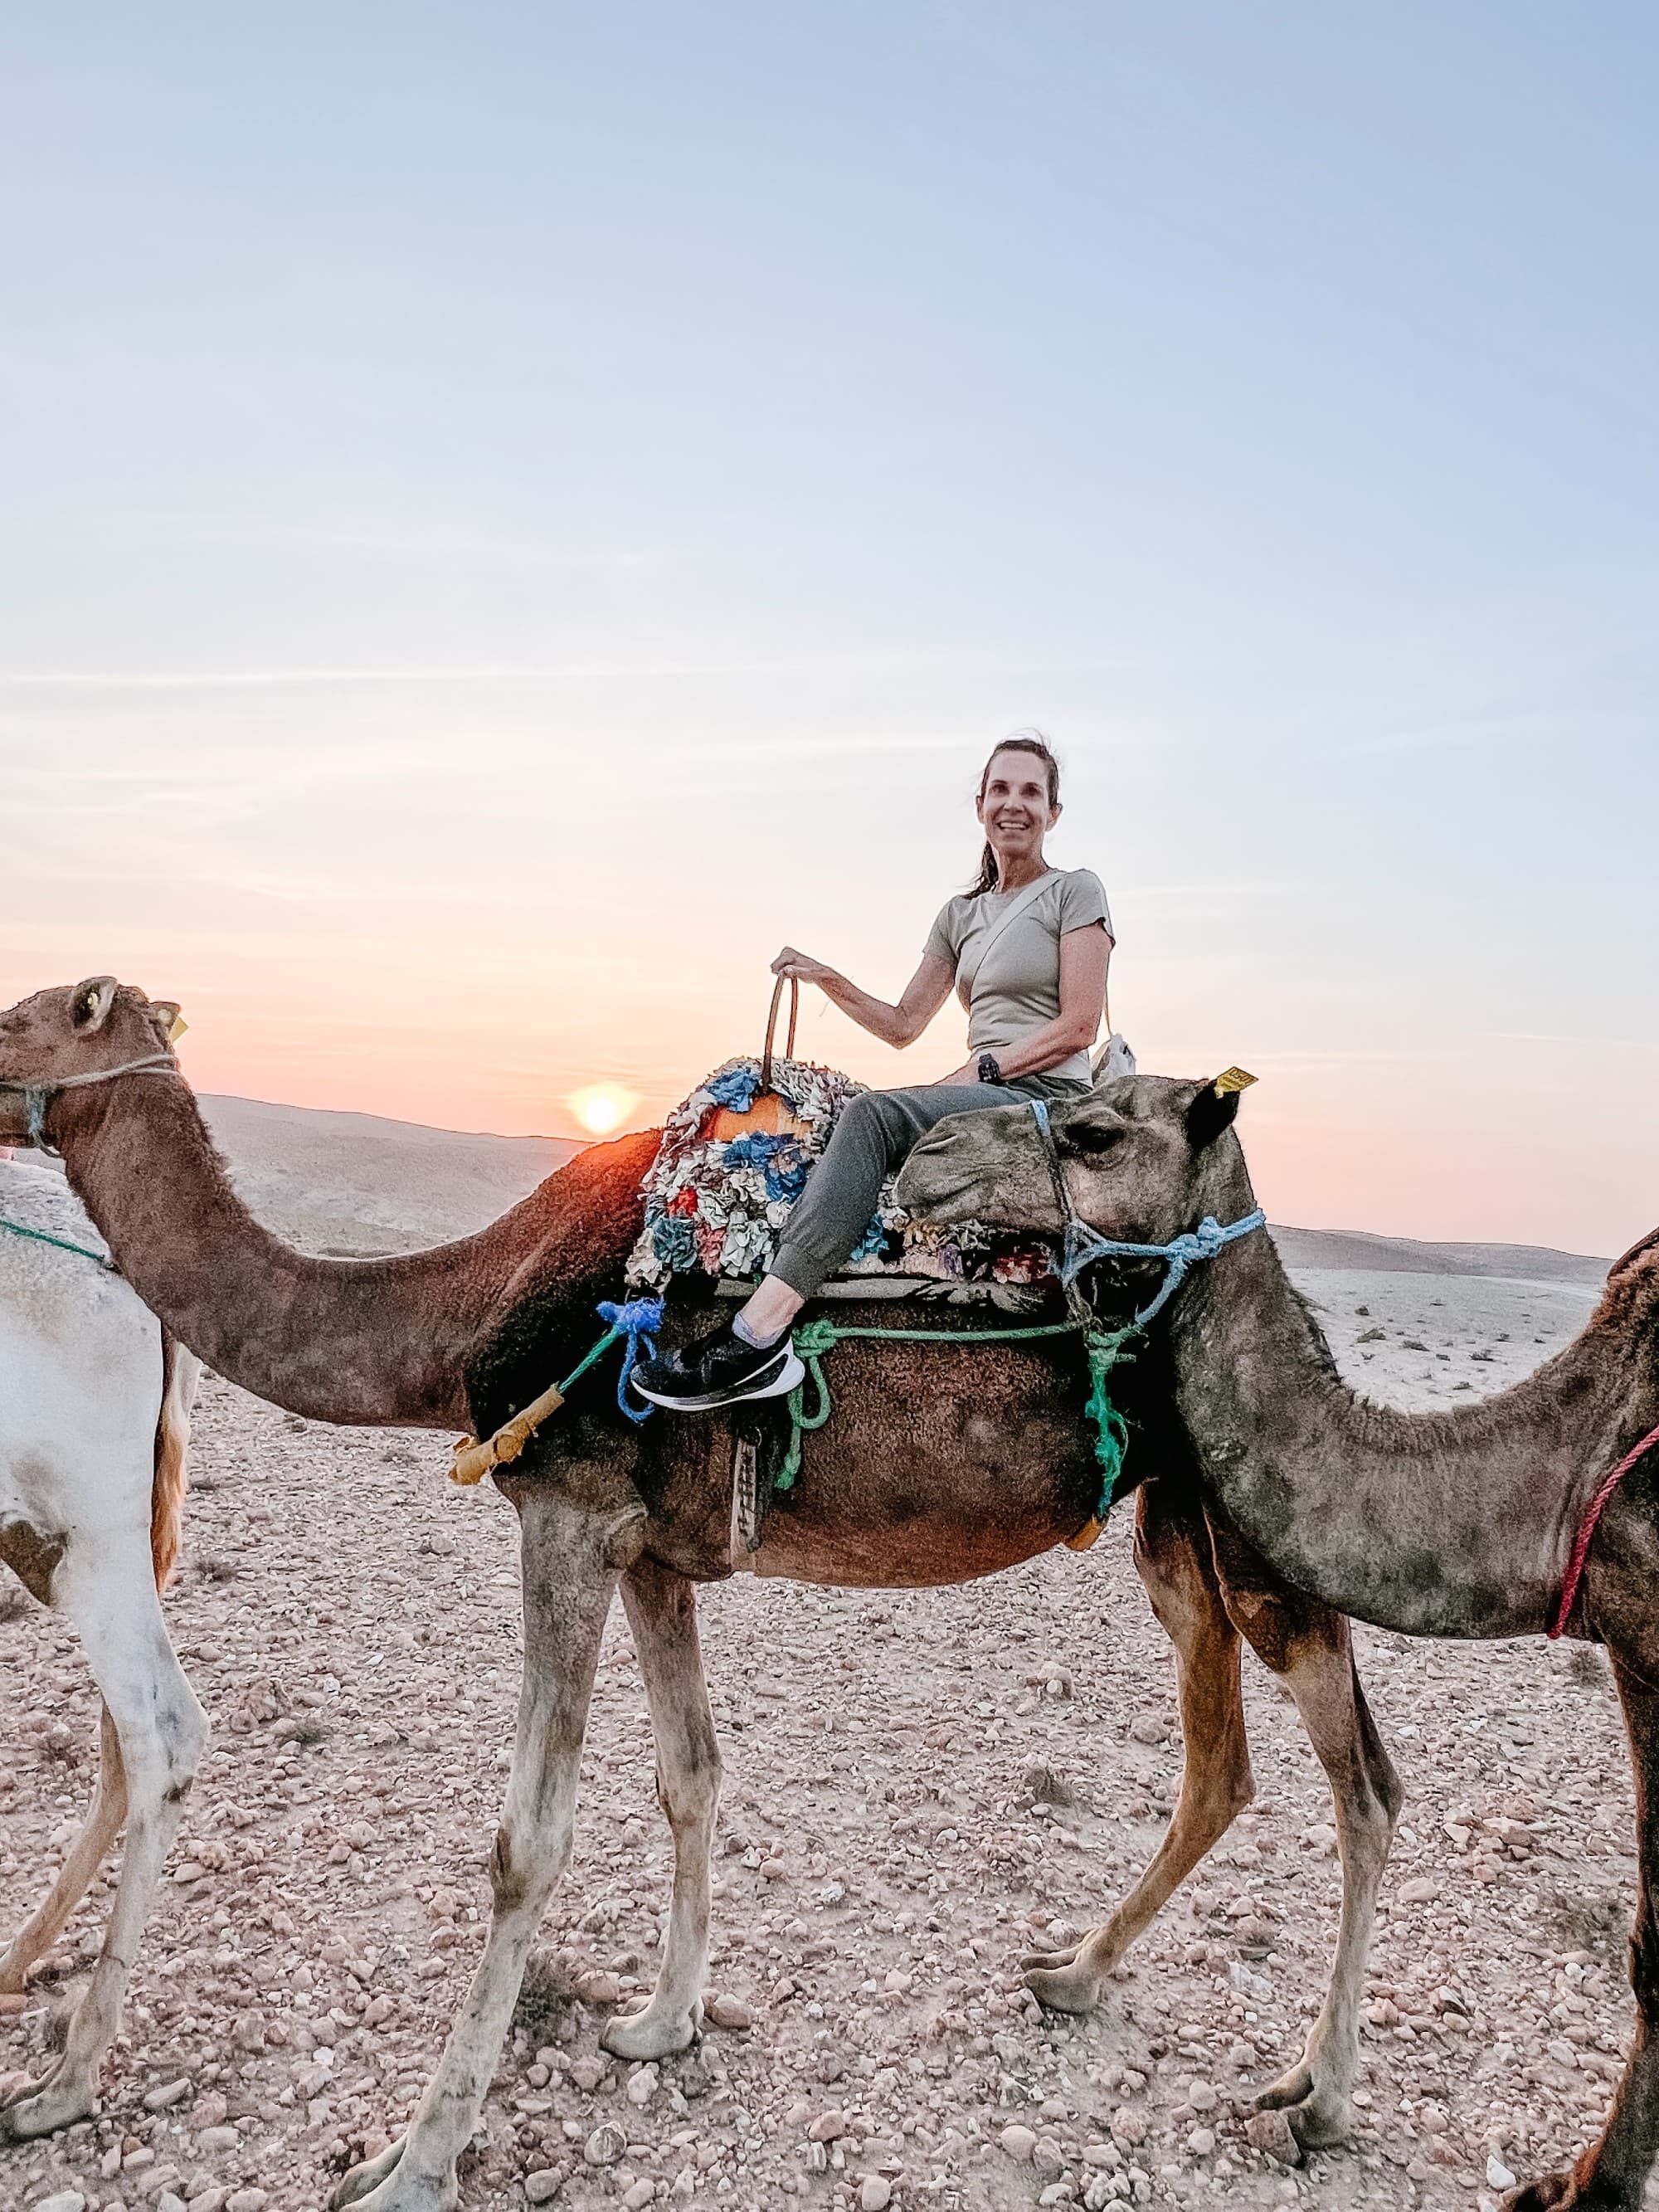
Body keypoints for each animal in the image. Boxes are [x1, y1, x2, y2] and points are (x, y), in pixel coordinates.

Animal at [0, 979, 1398, 2207]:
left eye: (20, 1013)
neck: (466, 1310)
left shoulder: (563, 1518)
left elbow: (526, 1844)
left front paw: (410, 2164)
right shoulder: (651, 1552)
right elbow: (691, 1773)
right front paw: (662, 2020)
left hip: (1261, 1532)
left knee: (1364, 1787)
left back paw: (1320, 2098)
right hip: (1179, 1532)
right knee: (1222, 1765)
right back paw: (1075, 1974)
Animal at [896, 1070, 1659, 2212]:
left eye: (1094, 1133)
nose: (923, 1152)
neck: (1567, 1476)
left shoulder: (1646, 1635)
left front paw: (1583, 2189)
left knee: (1339, 1786)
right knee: (1337, 1781)